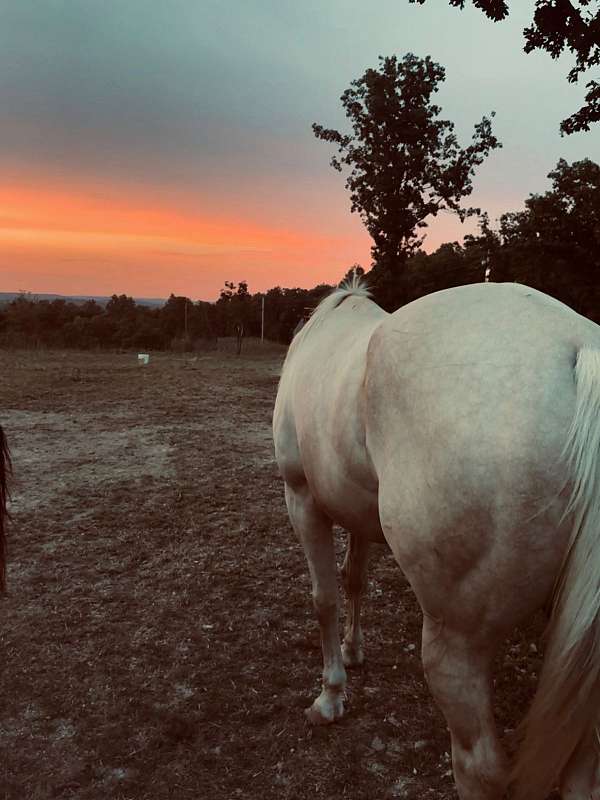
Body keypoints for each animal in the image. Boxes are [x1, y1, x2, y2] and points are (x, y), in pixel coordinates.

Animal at [273, 278, 600, 800]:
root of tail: (578, 346)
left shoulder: (301, 497)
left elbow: (324, 598)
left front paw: (330, 696)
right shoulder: (358, 514)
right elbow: (354, 580)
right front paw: (353, 651)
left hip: (457, 645)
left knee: (480, 768)